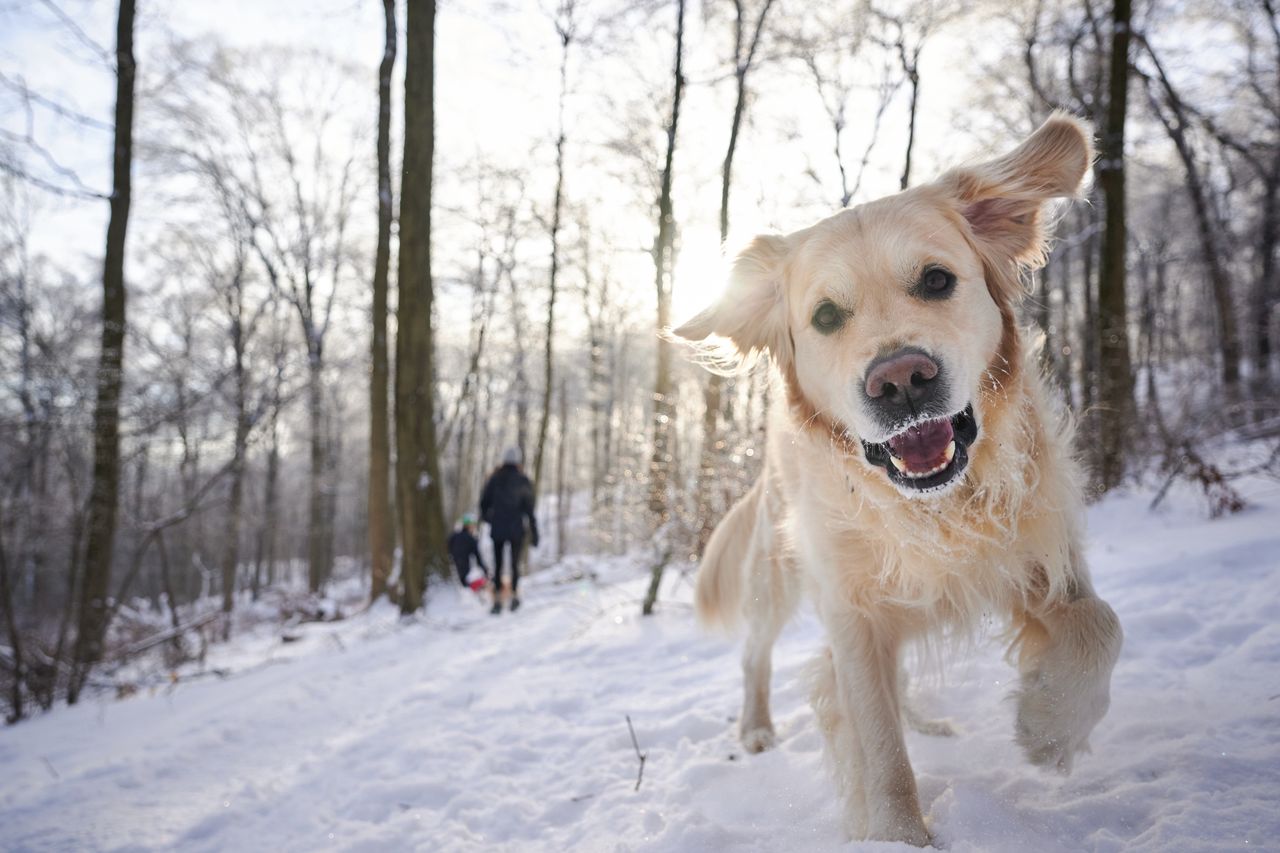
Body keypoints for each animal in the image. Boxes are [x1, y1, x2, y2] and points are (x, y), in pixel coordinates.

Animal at [675, 114, 1126, 845]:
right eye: (826, 316)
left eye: (937, 281)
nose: (900, 380)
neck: (935, 507)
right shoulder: (851, 610)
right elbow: (878, 741)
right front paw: (898, 835)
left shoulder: (1045, 550)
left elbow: (1099, 625)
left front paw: (1050, 726)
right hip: (776, 569)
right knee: (756, 654)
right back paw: (756, 728)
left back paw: (930, 720)